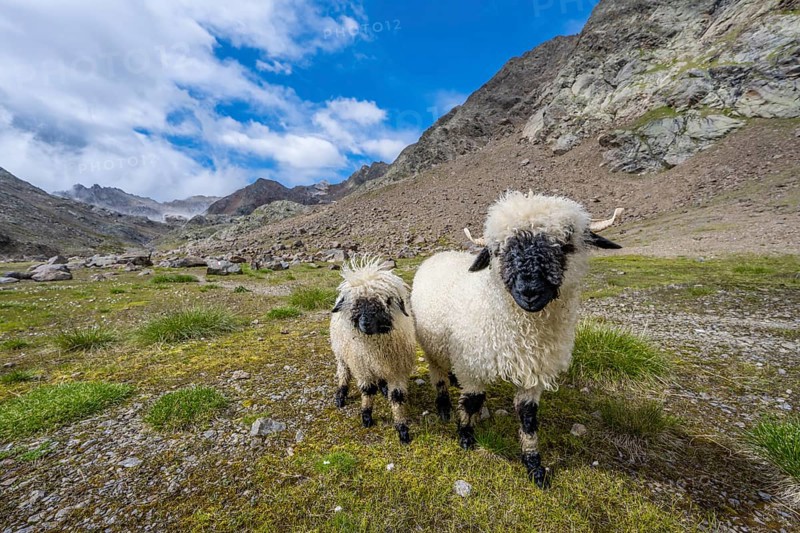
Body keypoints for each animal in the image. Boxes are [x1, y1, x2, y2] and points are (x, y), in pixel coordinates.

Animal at [330, 256, 417, 444]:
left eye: (385, 301)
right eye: (355, 303)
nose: (365, 323)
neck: (376, 349)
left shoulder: (397, 370)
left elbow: (397, 397)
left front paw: (402, 429)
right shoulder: (362, 368)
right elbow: (368, 391)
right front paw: (366, 416)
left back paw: (383, 387)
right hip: (341, 354)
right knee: (343, 373)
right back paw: (341, 396)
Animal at [410, 191, 622, 486]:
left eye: (565, 246)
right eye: (499, 250)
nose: (529, 291)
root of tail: (439, 255)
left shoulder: (534, 369)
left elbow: (528, 417)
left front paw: (534, 465)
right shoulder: (473, 364)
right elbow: (472, 401)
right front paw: (465, 436)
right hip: (431, 344)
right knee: (438, 373)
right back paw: (443, 405)